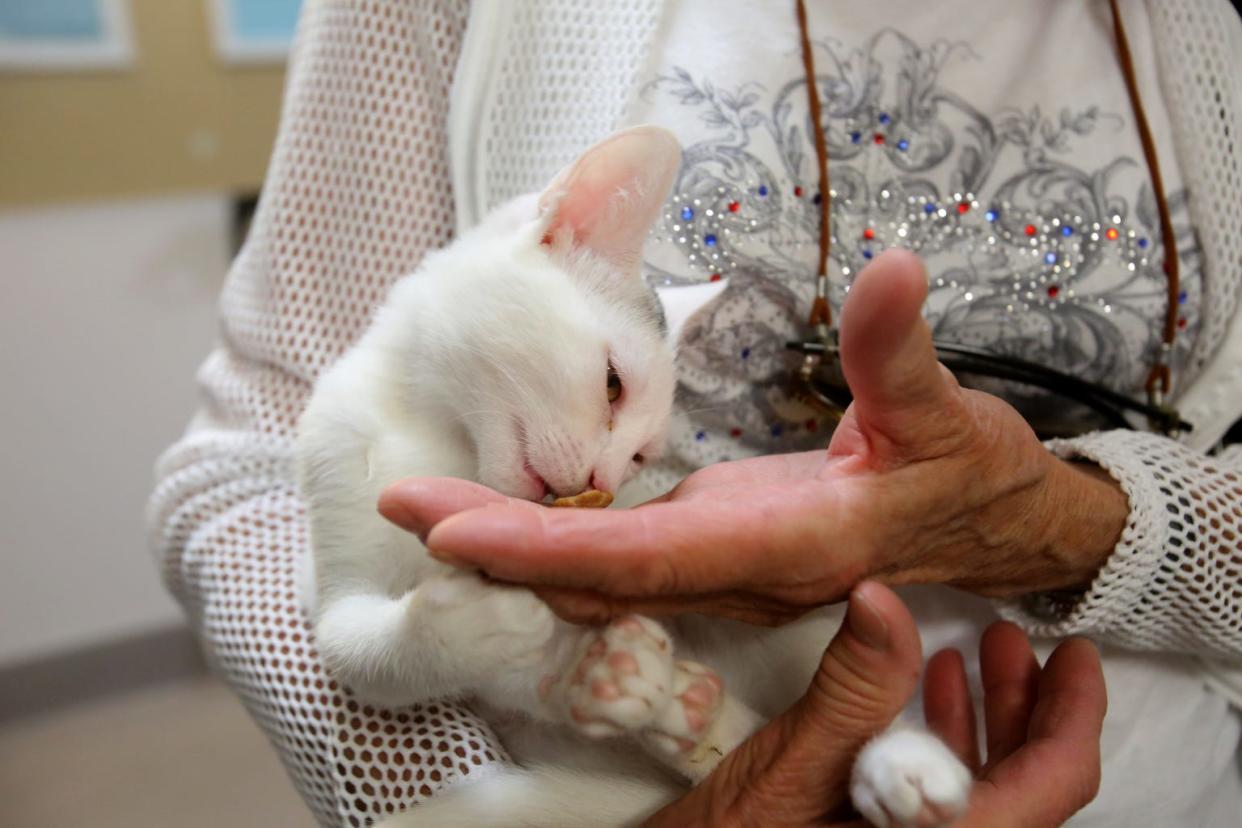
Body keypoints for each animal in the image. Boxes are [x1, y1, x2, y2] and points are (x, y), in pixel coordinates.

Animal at [293, 124, 968, 828]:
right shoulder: (331, 572)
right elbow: (362, 652)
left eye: (641, 456)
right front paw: (538, 650)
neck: (439, 435)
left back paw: (904, 767)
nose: (605, 477)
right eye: (614, 385)